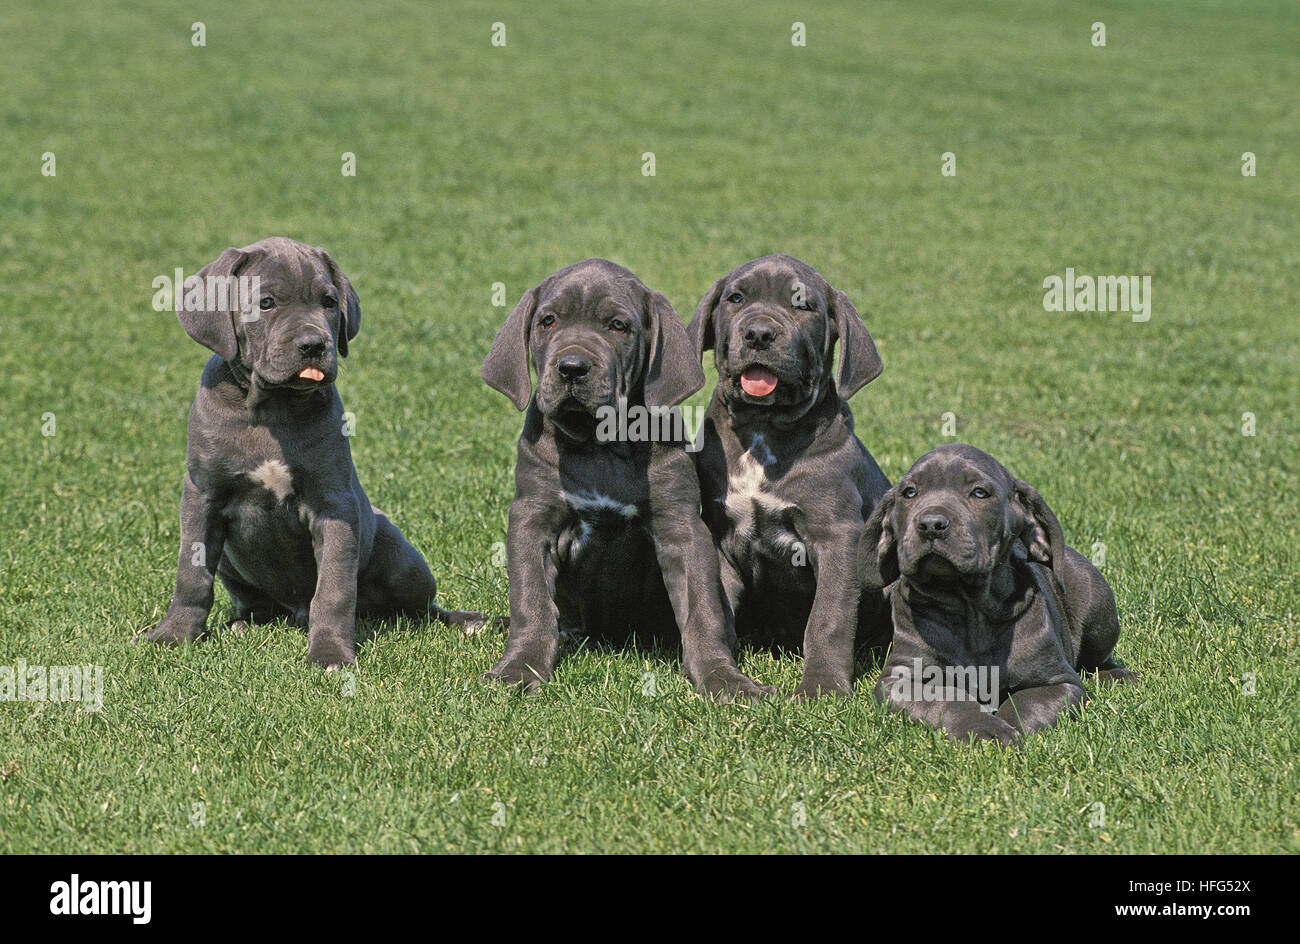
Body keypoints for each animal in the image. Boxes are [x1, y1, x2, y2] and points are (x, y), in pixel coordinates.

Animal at [142, 236, 486, 665]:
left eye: (328, 302)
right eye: (266, 302)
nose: (314, 345)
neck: (272, 406)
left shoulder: (333, 504)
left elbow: (334, 590)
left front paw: (329, 654)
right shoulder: (202, 495)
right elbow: (191, 573)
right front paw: (173, 635)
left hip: (403, 560)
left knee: (423, 608)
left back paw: (465, 621)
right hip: (232, 566)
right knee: (254, 602)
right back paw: (241, 625)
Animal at [483, 258, 774, 702]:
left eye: (618, 326)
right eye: (548, 321)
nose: (571, 368)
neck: (599, 442)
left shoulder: (681, 528)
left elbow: (703, 608)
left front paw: (722, 678)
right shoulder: (532, 518)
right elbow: (531, 602)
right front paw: (519, 669)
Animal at [691, 254, 894, 696]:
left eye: (804, 306)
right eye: (736, 298)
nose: (759, 334)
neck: (762, 427)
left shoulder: (836, 536)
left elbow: (829, 619)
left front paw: (823, 687)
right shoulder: (719, 537)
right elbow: (715, 609)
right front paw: (724, 676)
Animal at [863, 444, 1138, 748]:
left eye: (980, 492)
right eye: (909, 492)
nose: (931, 524)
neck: (970, 607)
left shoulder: (1058, 682)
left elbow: (1027, 703)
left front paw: (1007, 728)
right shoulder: (900, 680)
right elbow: (945, 701)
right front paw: (985, 728)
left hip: (1095, 599)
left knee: (1097, 660)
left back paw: (1118, 675)